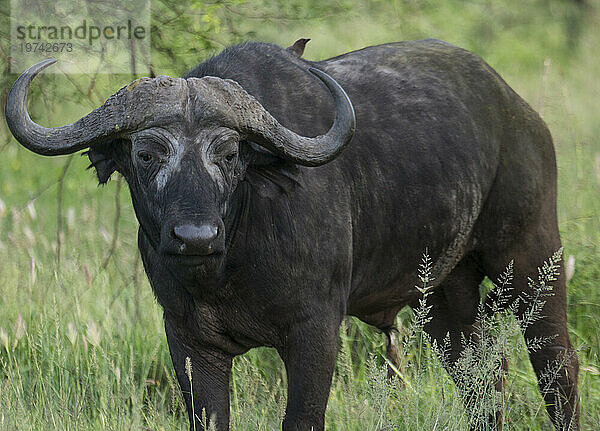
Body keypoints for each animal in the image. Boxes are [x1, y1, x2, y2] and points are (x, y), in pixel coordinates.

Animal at [3, 38, 576, 430]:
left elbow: (301, 419)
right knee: (484, 380)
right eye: (146, 154)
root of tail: (520, 114)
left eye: (230, 154)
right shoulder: (187, 339)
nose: (194, 237)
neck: (229, 265)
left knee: (557, 366)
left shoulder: (315, 333)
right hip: (443, 296)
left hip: (532, 265)